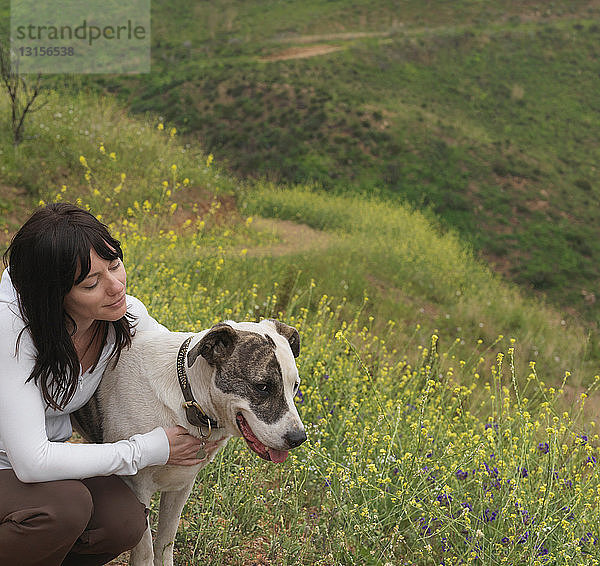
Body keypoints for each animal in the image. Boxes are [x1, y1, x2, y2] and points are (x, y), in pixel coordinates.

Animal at [75, 322, 308, 566]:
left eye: (295, 386)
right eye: (262, 387)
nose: (298, 438)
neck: (188, 396)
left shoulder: (181, 487)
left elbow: (165, 544)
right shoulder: (137, 489)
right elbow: (145, 551)